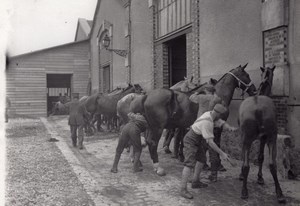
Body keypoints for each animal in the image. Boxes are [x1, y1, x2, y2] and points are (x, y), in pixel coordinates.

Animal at [238, 66, 284, 203]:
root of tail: (257, 108)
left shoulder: (253, 138)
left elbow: (255, 157)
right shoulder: (264, 139)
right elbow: (260, 157)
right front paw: (259, 177)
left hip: (250, 139)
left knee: (248, 164)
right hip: (270, 138)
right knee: (271, 164)